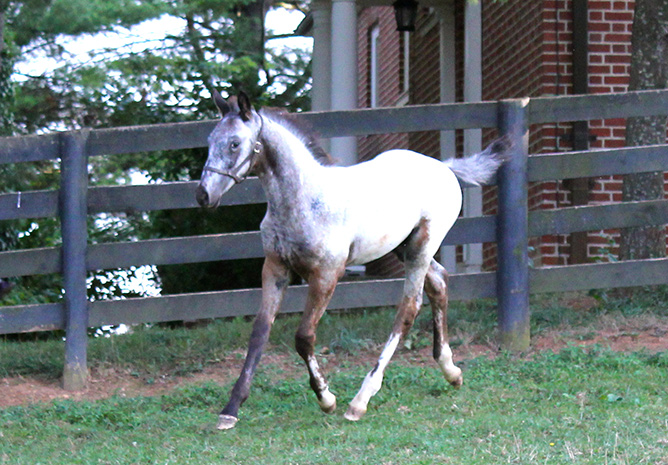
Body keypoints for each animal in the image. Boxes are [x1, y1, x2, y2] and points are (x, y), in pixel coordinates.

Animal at [194, 89, 506, 428]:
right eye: (210, 140)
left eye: (234, 143)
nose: (203, 195)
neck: (305, 200)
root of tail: (445, 167)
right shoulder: (275, 268)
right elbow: (259, 332)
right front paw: (230, 409)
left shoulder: (327, 274)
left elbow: (304, 336)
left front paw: (326, 399)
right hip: (402, 246)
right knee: (439, 282)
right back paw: (451, 371)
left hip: (423, 244)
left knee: (409, 307)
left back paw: (360, 400)